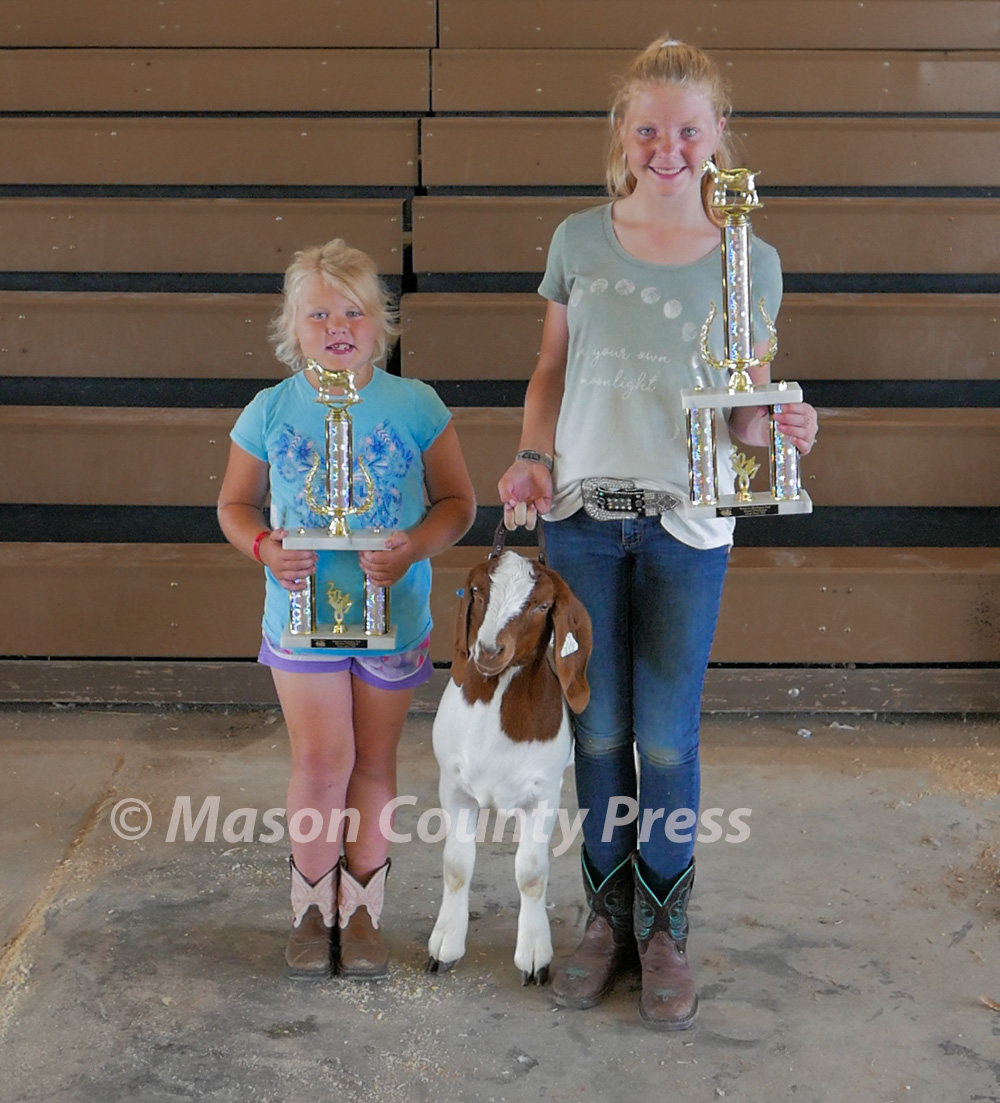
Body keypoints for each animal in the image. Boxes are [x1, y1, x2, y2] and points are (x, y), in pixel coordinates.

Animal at [427, 547, 595, 988]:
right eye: (477, 591)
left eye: (541, 605)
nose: (488, 651)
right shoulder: (453, 788)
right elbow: (455, 866)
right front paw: (445, 944)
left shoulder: (543, 795)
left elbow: (531, 874)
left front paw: (534, 954)